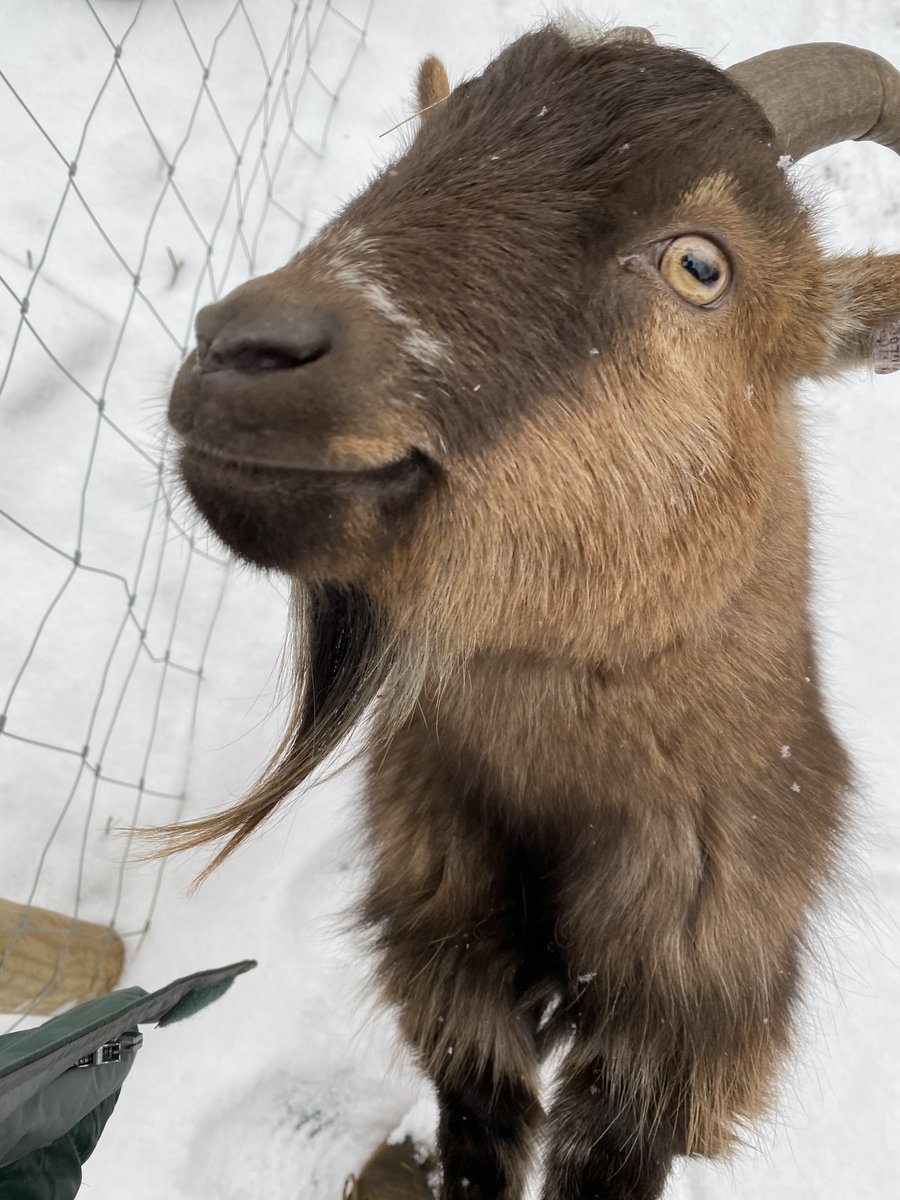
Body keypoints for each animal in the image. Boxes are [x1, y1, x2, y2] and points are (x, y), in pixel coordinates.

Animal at [162, 21, 900, 1200]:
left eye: (701, 264)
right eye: (416, 153)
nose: (245, 352)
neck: (563, 796)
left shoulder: (684, 1028)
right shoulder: (447, 961)